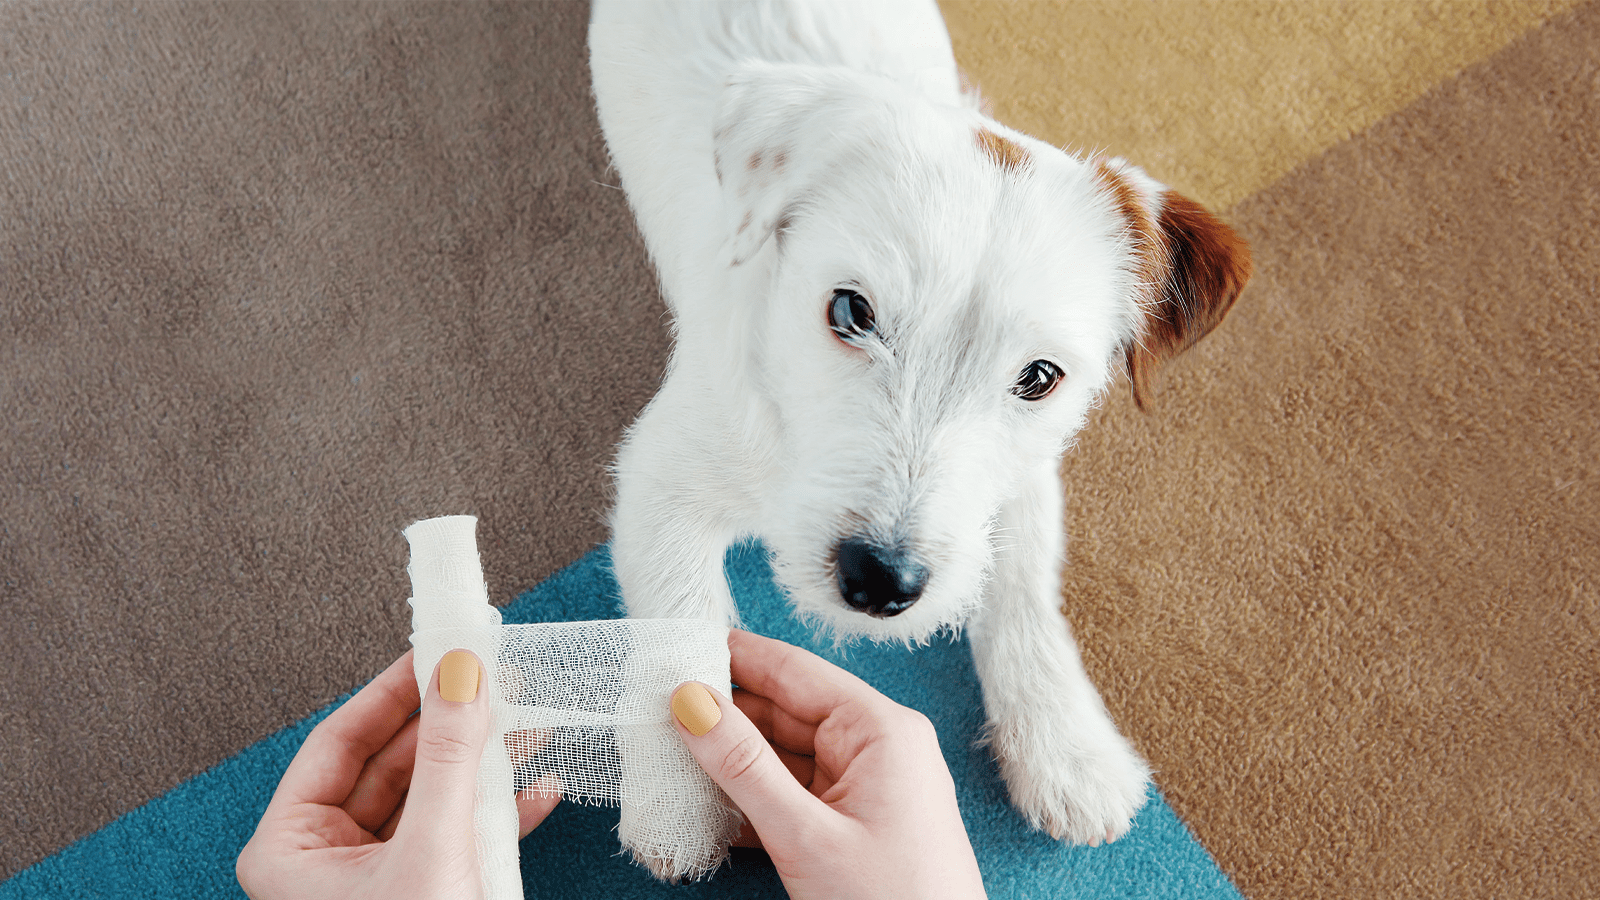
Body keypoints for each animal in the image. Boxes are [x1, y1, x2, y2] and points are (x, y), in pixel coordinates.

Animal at [588, 0, 1248, 839]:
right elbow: (678, 628)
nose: (881, 582)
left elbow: (1025, 587)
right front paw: (679, 798)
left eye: (1039, 377)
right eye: (850, 311)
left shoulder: (1023, 479)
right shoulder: (661, 477)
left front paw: (1066, 745)